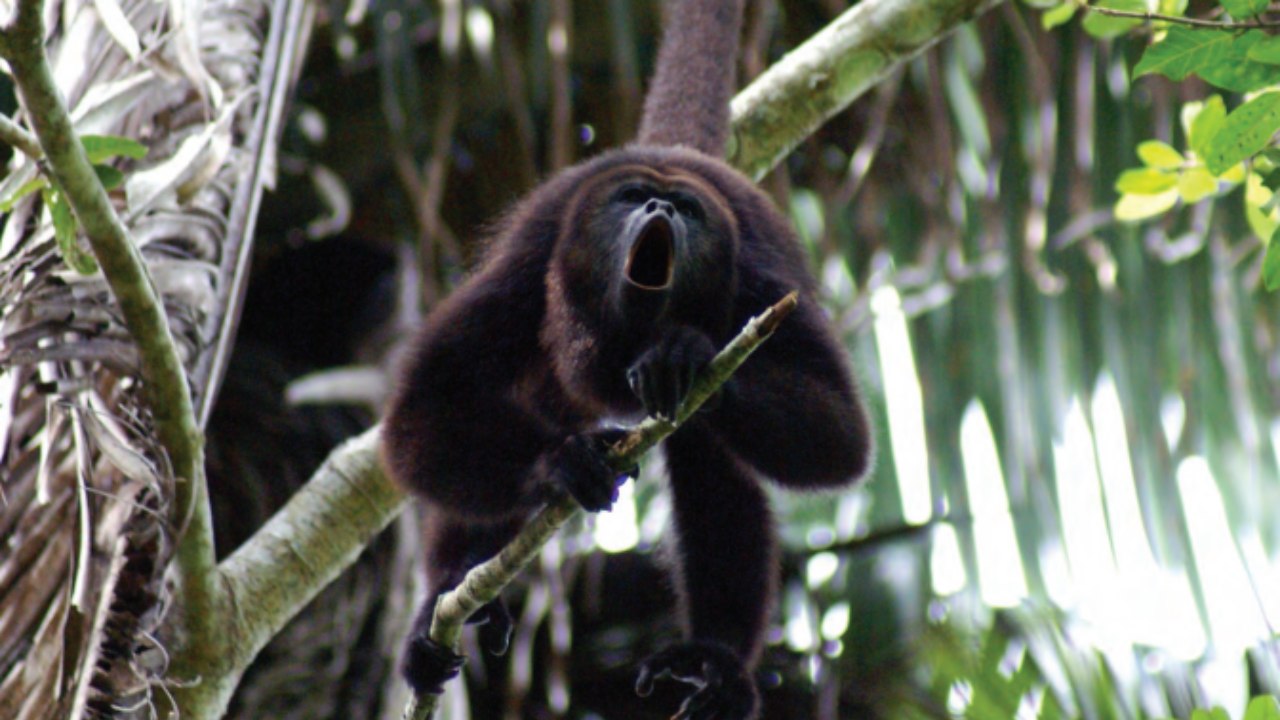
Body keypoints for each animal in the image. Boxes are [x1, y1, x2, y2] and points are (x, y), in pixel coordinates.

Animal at [376, 0, 870, 712]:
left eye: (686, 208)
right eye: (632, 198)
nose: (661, 204)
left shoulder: (761, 277)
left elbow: (841, 440)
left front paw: (686, 356)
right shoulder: (527, 268)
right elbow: (420, 417)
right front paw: (560, 463)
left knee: (708, 449)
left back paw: (714, 660)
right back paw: (446, 602)